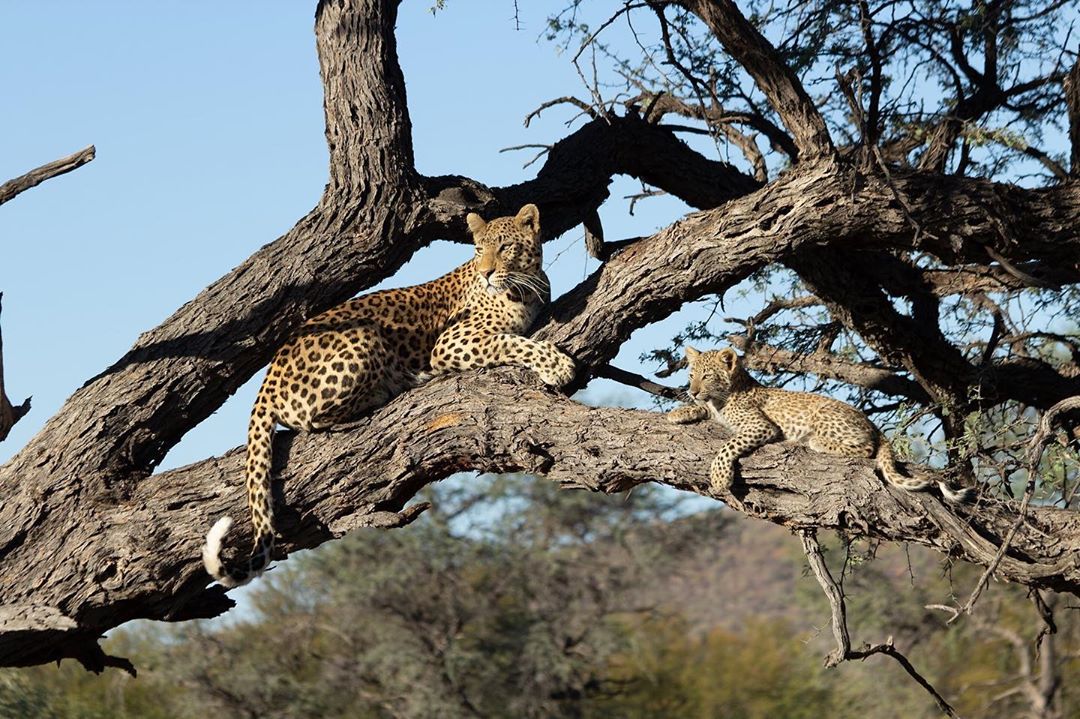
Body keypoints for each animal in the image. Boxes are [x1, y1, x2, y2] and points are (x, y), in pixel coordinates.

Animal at [202, 204, 576, 587]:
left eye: (504, 248)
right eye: (478, 250)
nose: (486, 274)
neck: (526, 289)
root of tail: (268, 377)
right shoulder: (451, 342)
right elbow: (511, 341)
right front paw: (557, 365)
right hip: (365, 334)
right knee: (312, 419)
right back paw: (395, 386)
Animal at [666, 346, 971, 503]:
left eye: (707, 376)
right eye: (691, 375)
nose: (691, 390)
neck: (725, 396)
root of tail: (871, 422)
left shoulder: (761, 426)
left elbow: (728, 445)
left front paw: (720, 477)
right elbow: (704, 410)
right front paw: (680, 412)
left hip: (826, 415)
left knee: (866, 448)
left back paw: (813, 441)